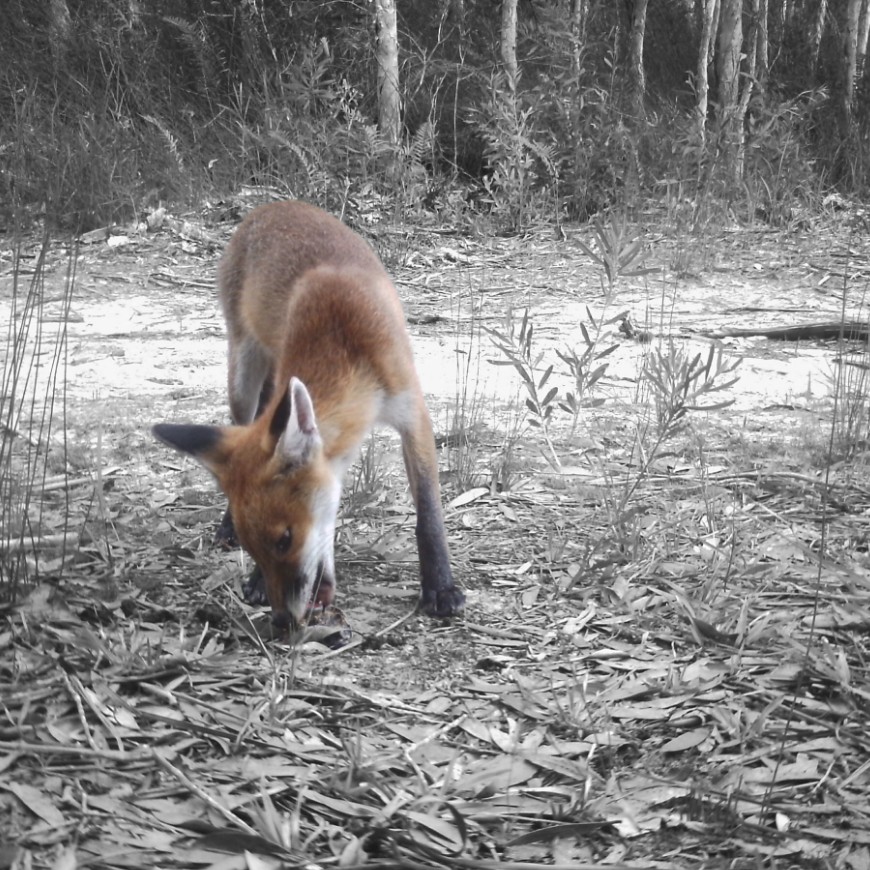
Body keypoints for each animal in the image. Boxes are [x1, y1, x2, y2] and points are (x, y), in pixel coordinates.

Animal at [153, 201, 466, 632]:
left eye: (285, 539)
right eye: (255, 550)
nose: (283, 620)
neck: (345, 343)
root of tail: (272, 205)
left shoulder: (411, 409)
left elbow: (429, 512)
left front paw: (440, 585)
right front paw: (255, 581)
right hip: (242, 374)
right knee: (238, 423)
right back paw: (225, 522)